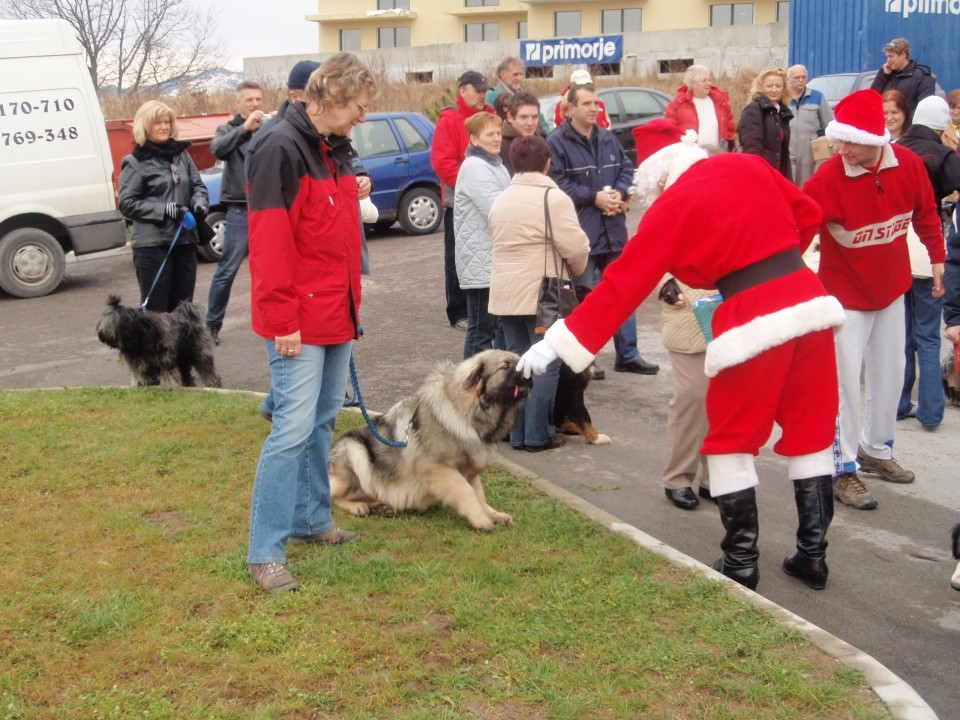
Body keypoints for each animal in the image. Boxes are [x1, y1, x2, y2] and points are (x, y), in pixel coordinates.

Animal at [330, 352, 532, 532]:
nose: (530, 376)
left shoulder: (469, 471)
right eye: (505, 366)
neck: (466, 412)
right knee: (330, 495)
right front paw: (480, 519)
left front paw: (492, 514)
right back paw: (357, 506)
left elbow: (479, 496)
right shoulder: (438, 468)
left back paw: (382, 506)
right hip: (355, 451)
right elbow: (466, 491)